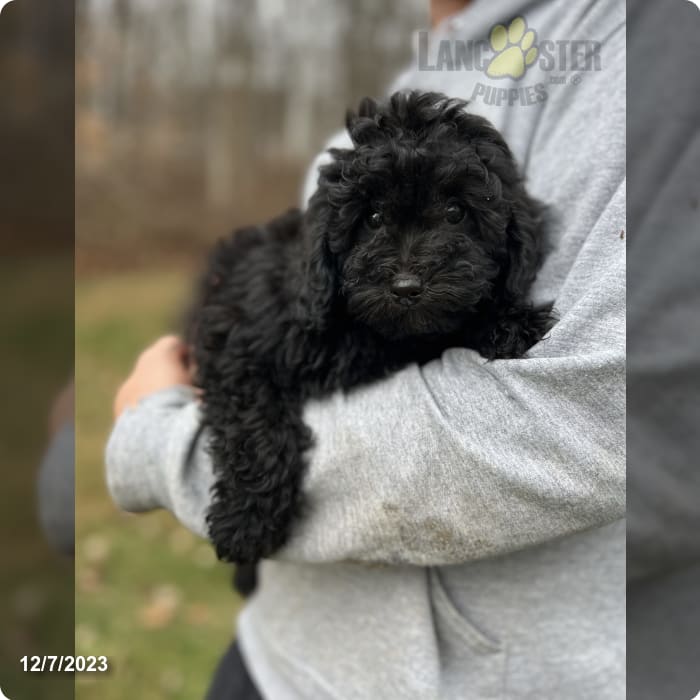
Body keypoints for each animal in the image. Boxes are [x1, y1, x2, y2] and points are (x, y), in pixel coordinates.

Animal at [189, 90, 556, 592]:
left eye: (456, 212)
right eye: (374, 217)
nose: (406, 287)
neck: (364, 330)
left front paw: (508, 322)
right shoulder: (235, 343)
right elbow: (255, 427)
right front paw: (246, 523)